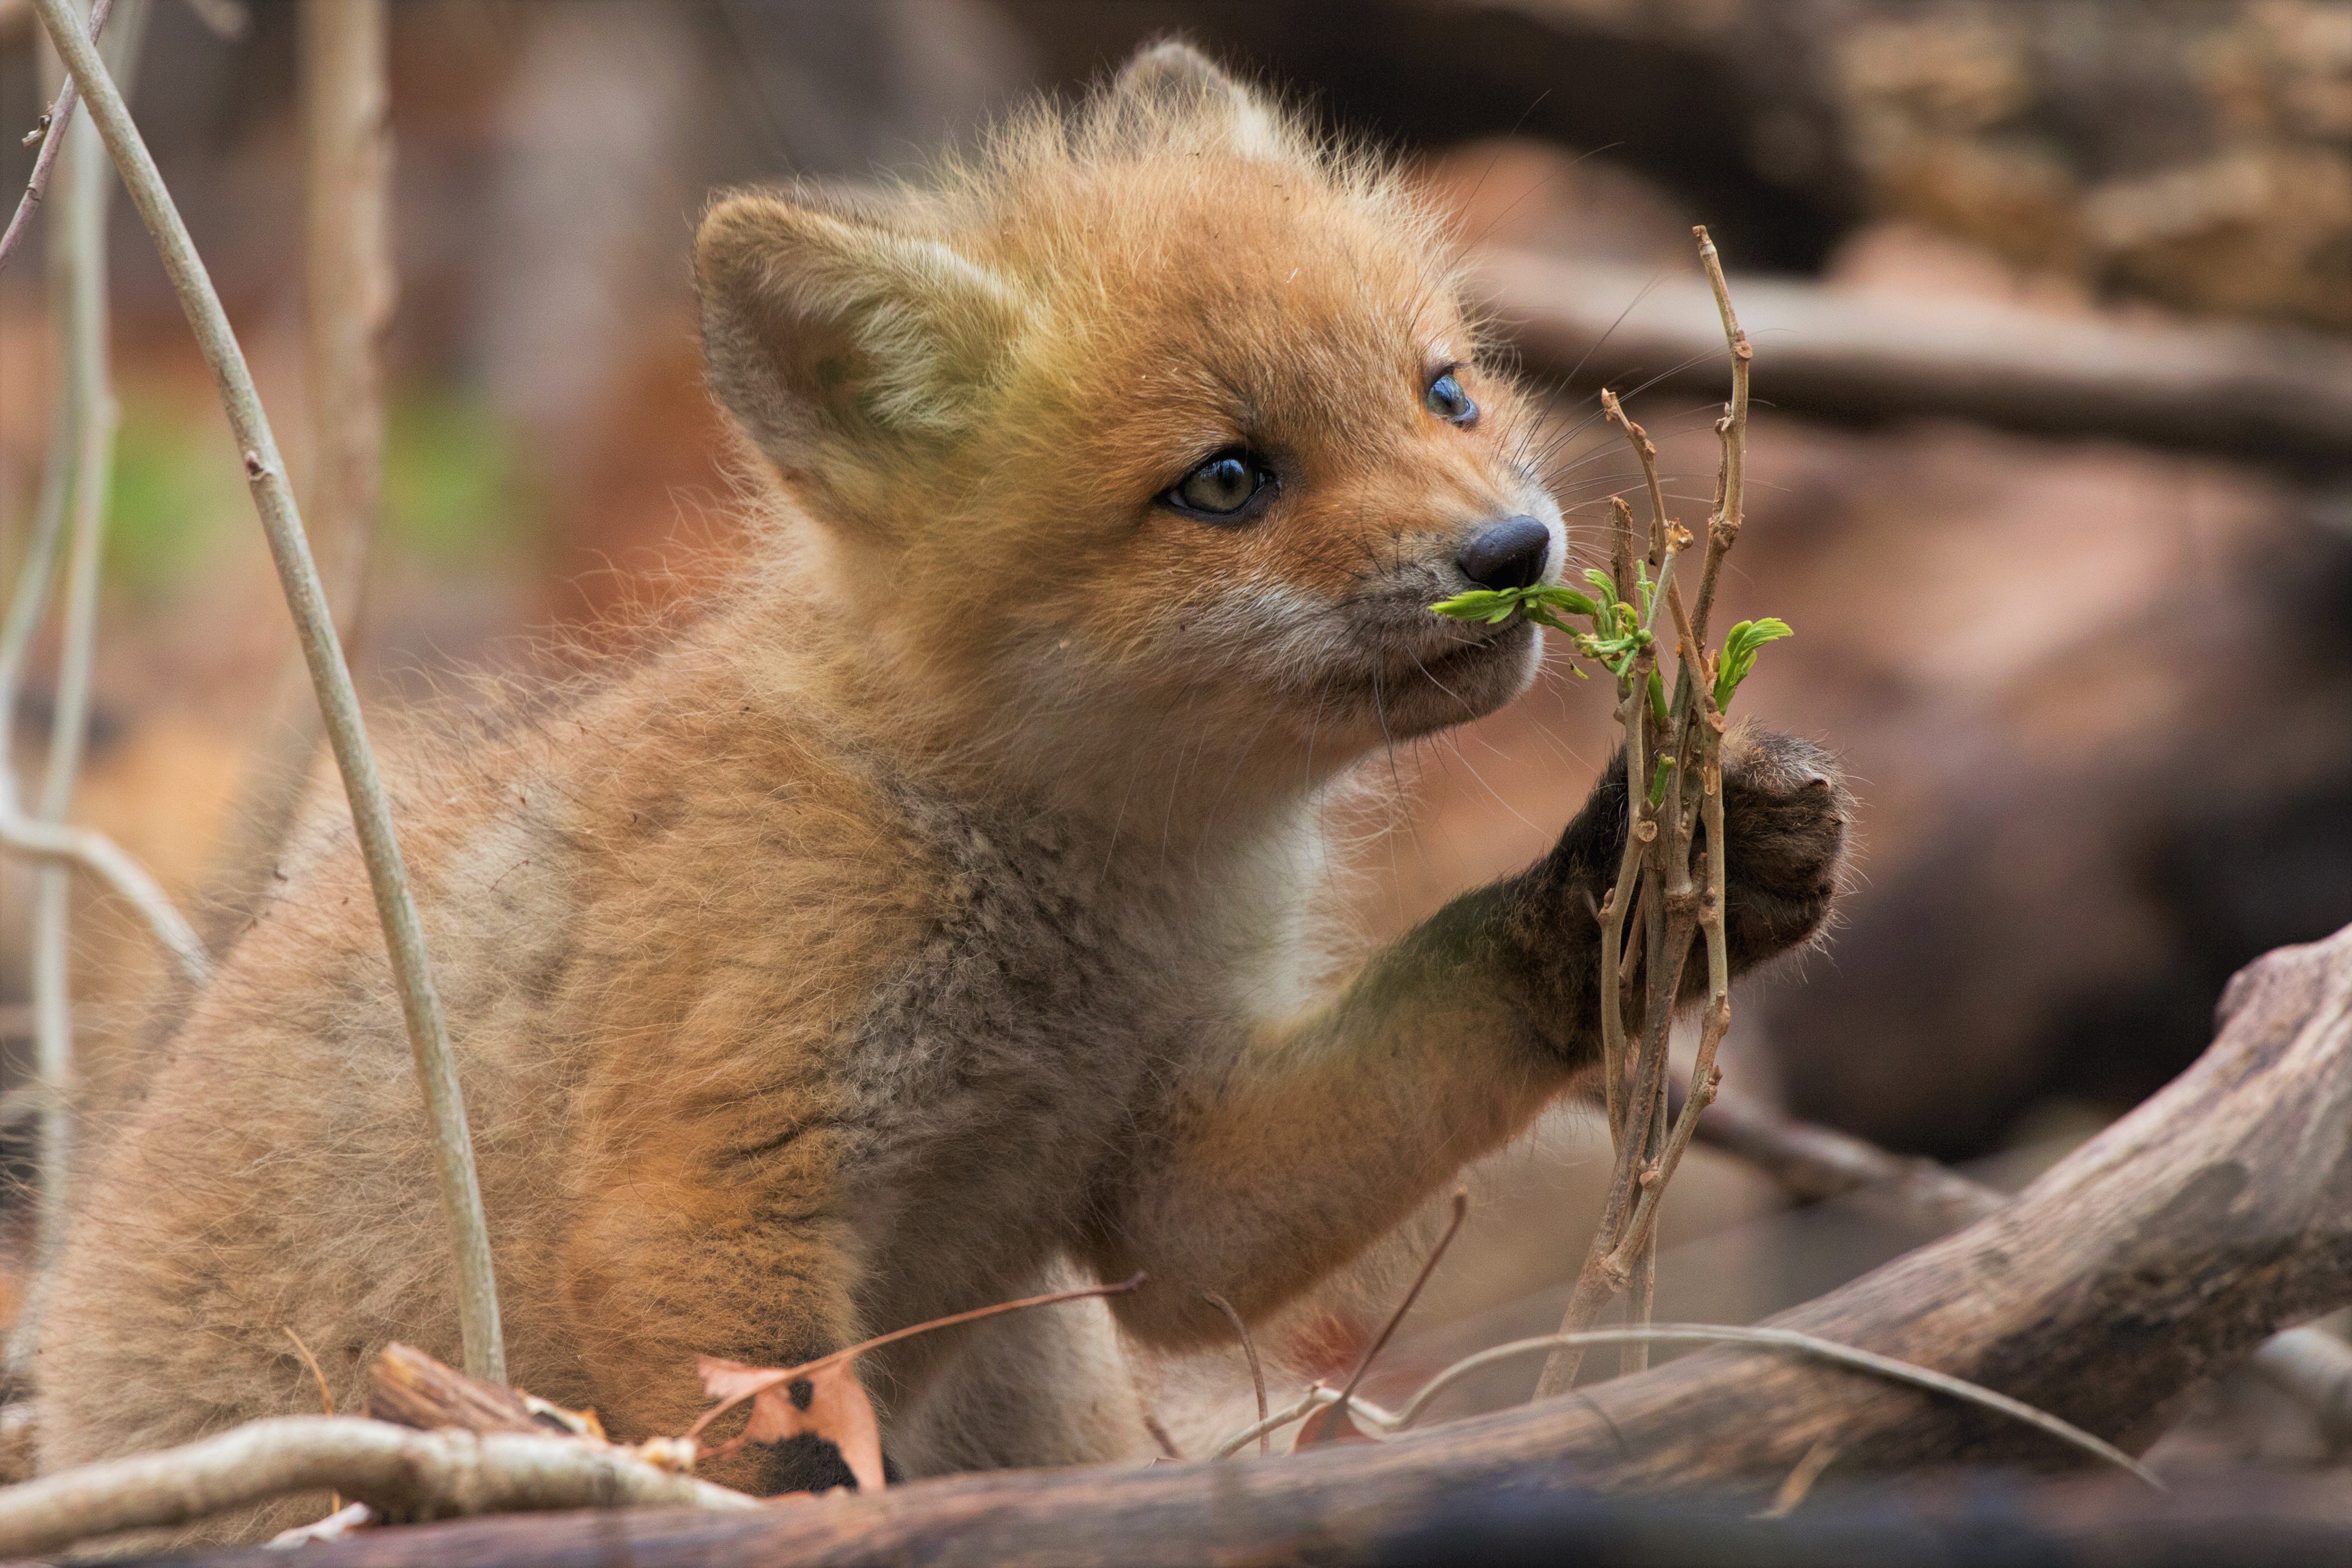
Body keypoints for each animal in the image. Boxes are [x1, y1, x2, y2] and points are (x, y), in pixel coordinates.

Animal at [27, 40, 1844, 1504]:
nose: (1511, 552)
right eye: (1228, 482)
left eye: (1447, 391)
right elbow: (782, 1470)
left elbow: (1418, 1027)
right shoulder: (699, 1196)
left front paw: (1660, 867)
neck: (1080, 903)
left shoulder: (1157, 1176)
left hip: (1041, 1359)